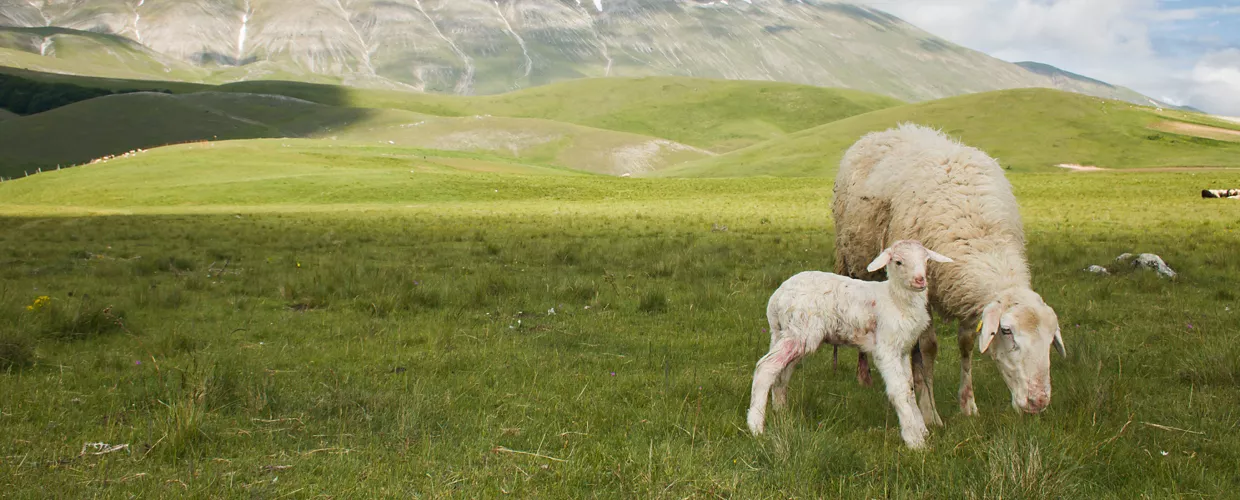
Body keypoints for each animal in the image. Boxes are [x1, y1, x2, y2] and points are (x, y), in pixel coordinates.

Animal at [739, 239, 952, 449]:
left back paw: (781, 413)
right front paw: (914, 440)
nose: (920, 280)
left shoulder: (903, 349)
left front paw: (921, 430)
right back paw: (756, 426)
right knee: (765, 367)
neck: (896, 298)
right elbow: (898, 390)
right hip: (799, 332)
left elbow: (909, 388)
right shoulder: (886, 348)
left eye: (926, 260)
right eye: (898, 262)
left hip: (785, 334)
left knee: (781, 372)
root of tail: (775, 300)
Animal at [833, 123, 1066, 424]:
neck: (980, 237)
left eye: (1050, 339)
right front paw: (930, 413)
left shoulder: (963, 293)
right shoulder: (926, 289)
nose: (1038, 402)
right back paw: (863, 376)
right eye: (1006, 331)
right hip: (852, 261)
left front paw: (968, 405)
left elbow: (965, 344)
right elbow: (929, 348)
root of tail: (884, 131)